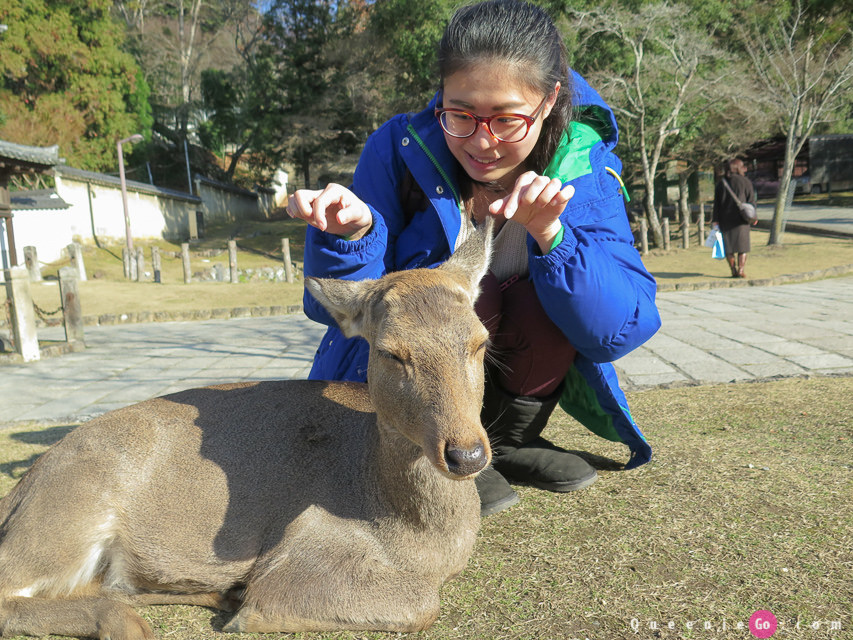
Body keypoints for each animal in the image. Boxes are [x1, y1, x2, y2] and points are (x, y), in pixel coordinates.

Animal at [0, 221, 496, 640]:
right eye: (391, 353)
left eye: (481, 342)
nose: (466, 454)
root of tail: (17, 494)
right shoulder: (302, 548)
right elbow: (422, 605)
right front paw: (246, 609)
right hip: (70, 509)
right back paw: (132, 622)